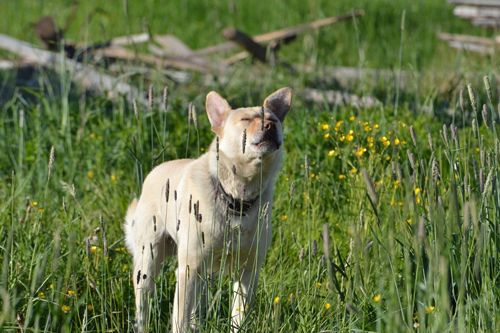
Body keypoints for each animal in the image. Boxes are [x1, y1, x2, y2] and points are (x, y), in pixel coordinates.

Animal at [123, 87, 292, 330]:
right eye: (246, 119)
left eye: (273, 119)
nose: (270, 126)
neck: (237, 198)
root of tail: (153, 172)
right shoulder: (188, 270)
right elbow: (179, 320)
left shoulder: (248, 272)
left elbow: (239, 318)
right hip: (148, 262)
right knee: (143, 306)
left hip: (204, 274)